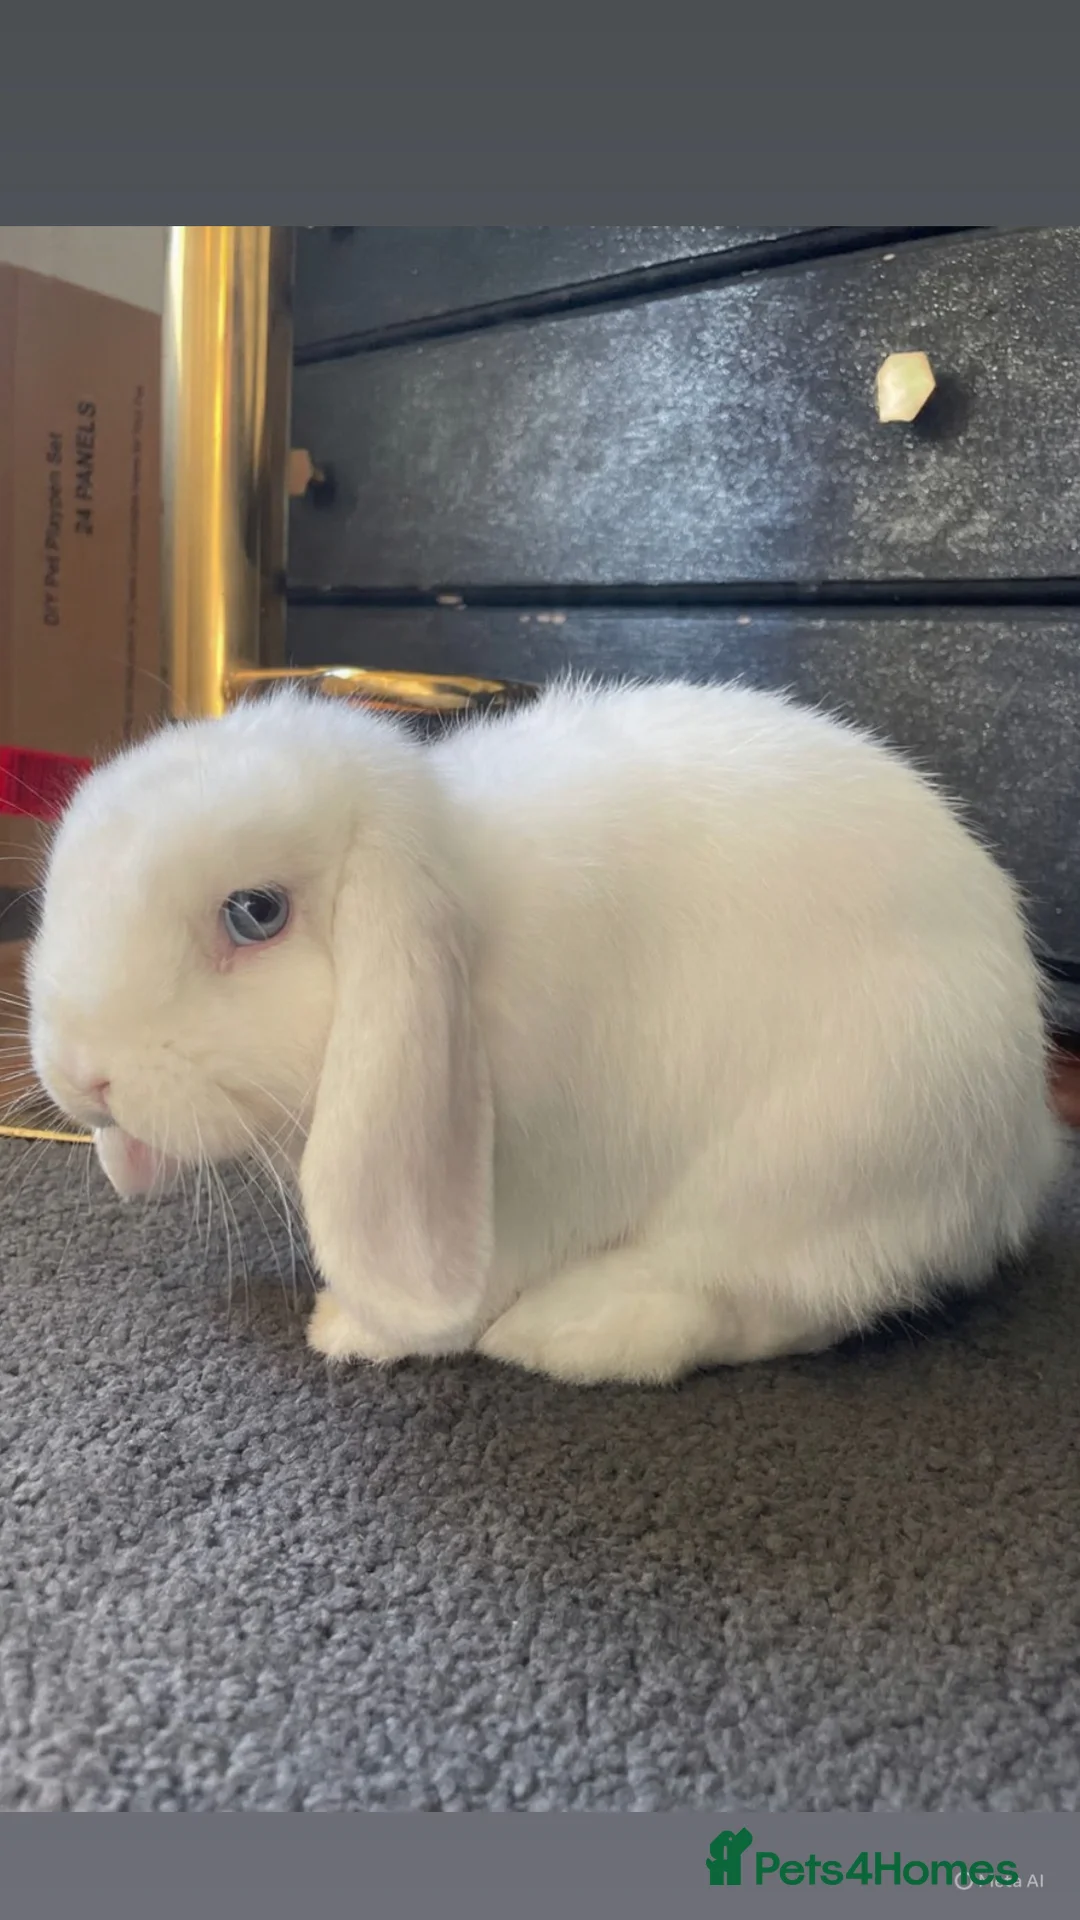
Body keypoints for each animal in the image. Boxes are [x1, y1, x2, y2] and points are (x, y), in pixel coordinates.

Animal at [26, 675, 1063, 1386]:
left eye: (255, 913)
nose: (80, 1074)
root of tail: (1024, 1145)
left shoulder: (530, 1184)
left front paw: (355, 1330)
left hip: (829, 1152)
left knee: (776, 1297)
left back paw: (567, 1334)